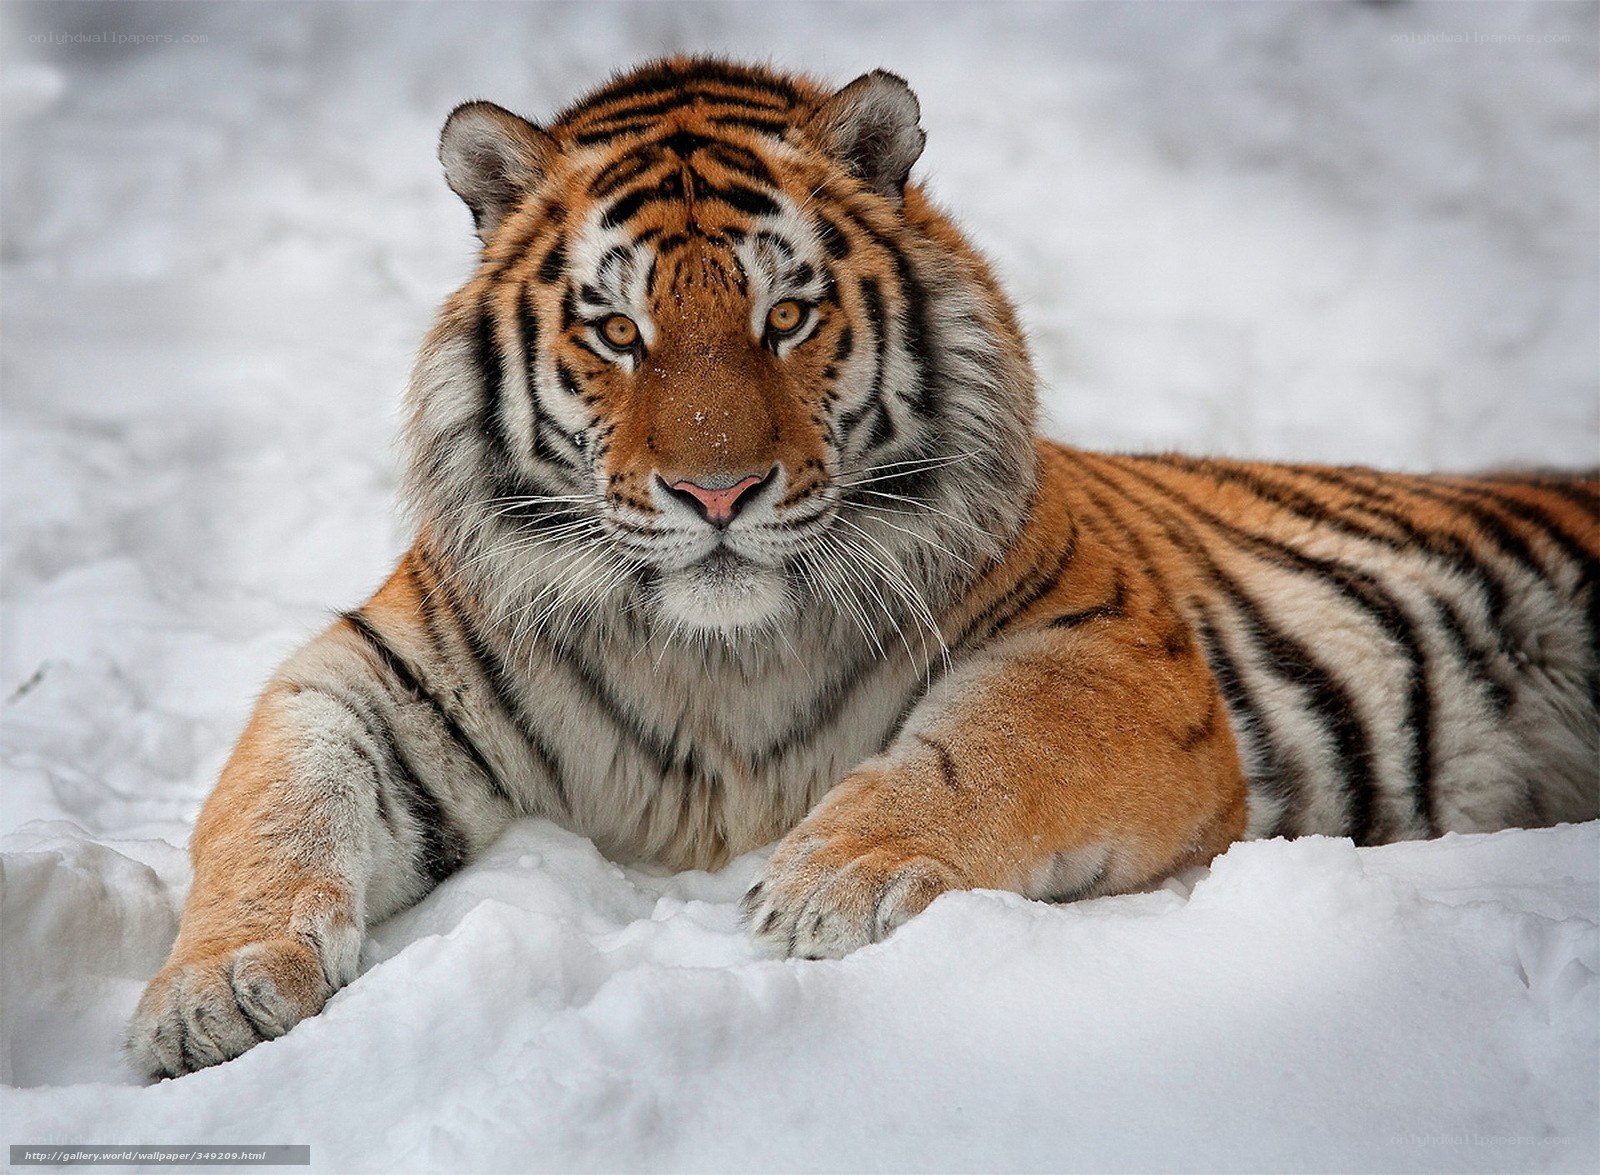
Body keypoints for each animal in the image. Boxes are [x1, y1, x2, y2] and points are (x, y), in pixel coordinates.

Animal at [126, 56, 1600, 1079]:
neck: (713, 652)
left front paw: (828, 880)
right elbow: (271, 812)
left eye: (787, 314)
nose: (716, 490)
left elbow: (982, 751)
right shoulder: (366, 678)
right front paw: (209, 992)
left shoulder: (1109, 648)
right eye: (615, 327)